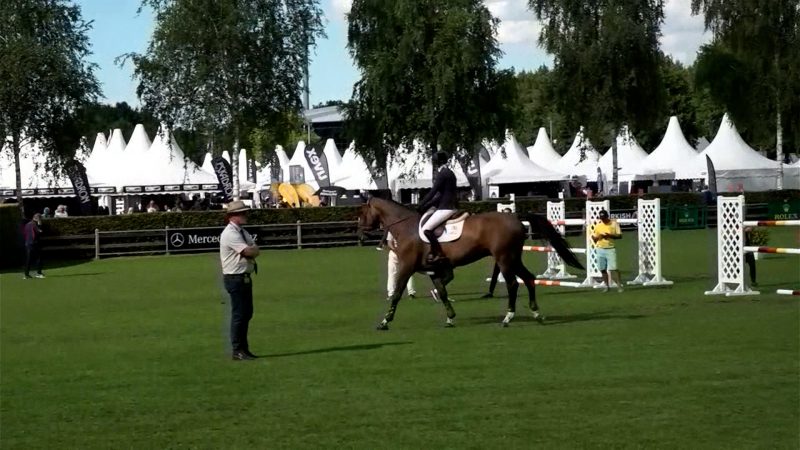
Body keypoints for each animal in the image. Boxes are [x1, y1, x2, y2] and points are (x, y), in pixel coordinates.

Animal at [360, 199, 584, 328]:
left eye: (362, 212)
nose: (362, 235)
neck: (406, 227)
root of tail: (513, 217)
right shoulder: (435, 270)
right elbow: (442, 292)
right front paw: (450, 318)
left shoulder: (407, 267)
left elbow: (397, 293)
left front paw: (385, 321)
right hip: (513, 258)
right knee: (528, 279)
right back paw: (536, 314)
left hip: (505, 259)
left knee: (513, 284)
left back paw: (508, 318)